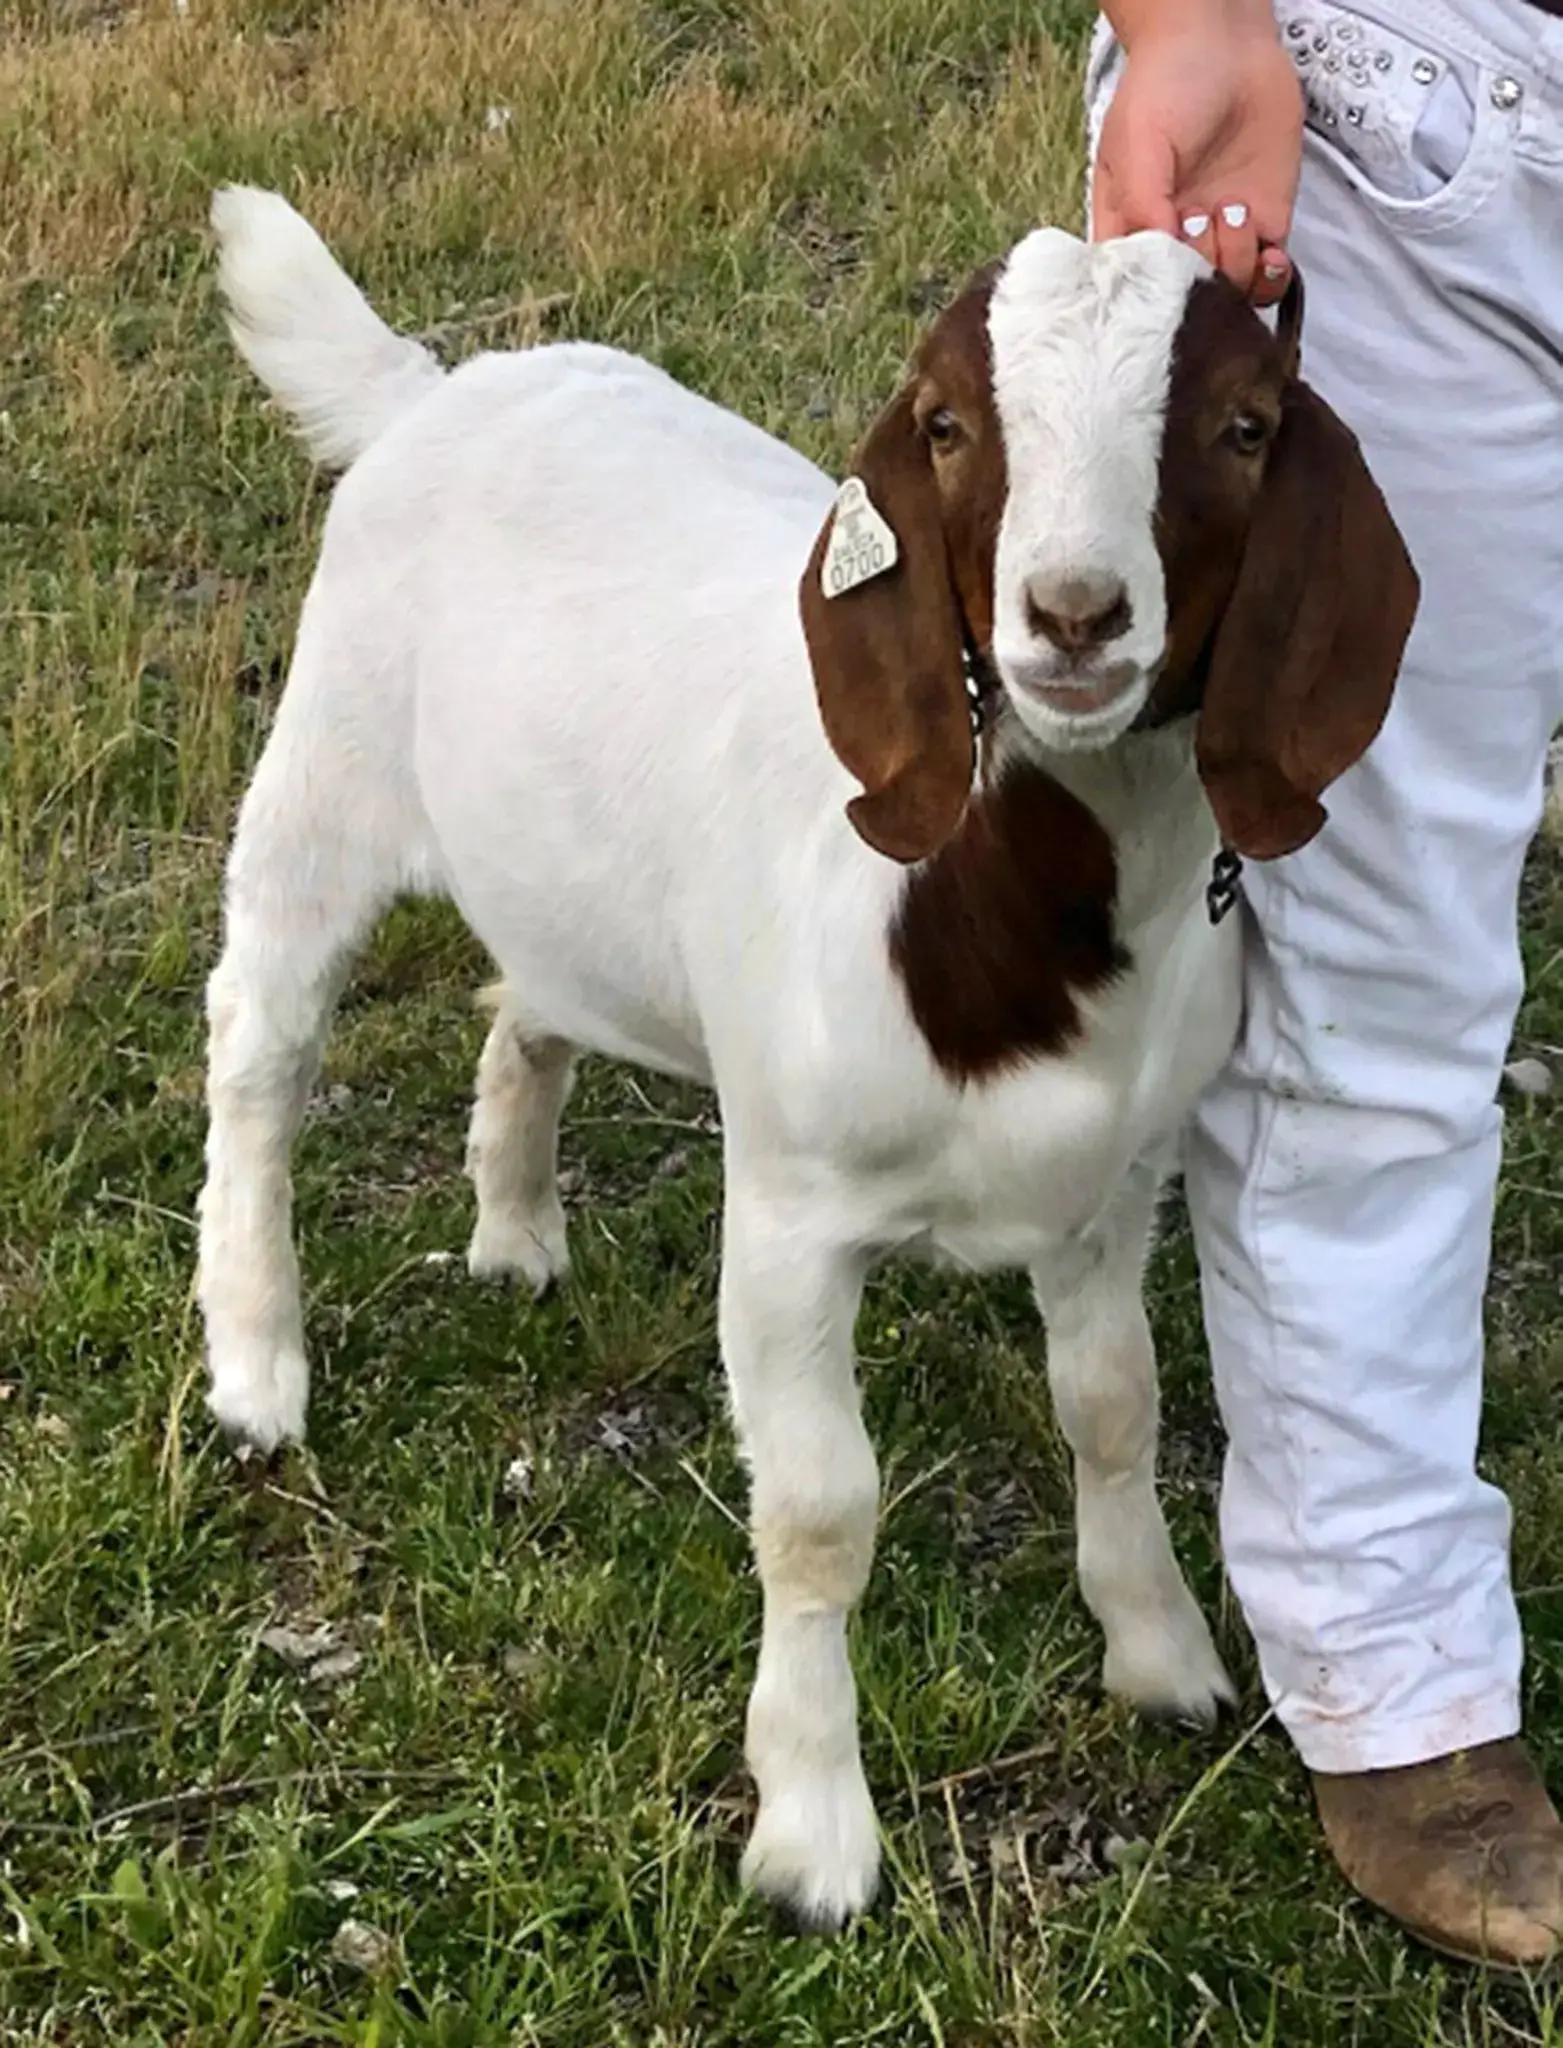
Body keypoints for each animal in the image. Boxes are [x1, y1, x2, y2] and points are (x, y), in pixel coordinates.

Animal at [198, 186, 1418, 1929]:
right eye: (948, 424)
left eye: (1244, 425)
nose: (1070, 616)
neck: (1008, 914)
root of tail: (431, 392)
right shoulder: (786, 1220)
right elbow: (821, 1511)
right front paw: (812, 1836)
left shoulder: (1113, 1190)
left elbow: (1112, 1404)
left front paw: (1158, 1653)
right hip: (325, 776)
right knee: (261, 1049)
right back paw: (254, 1363)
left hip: (569, 888)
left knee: (526, 1002)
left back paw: (514, 1229)